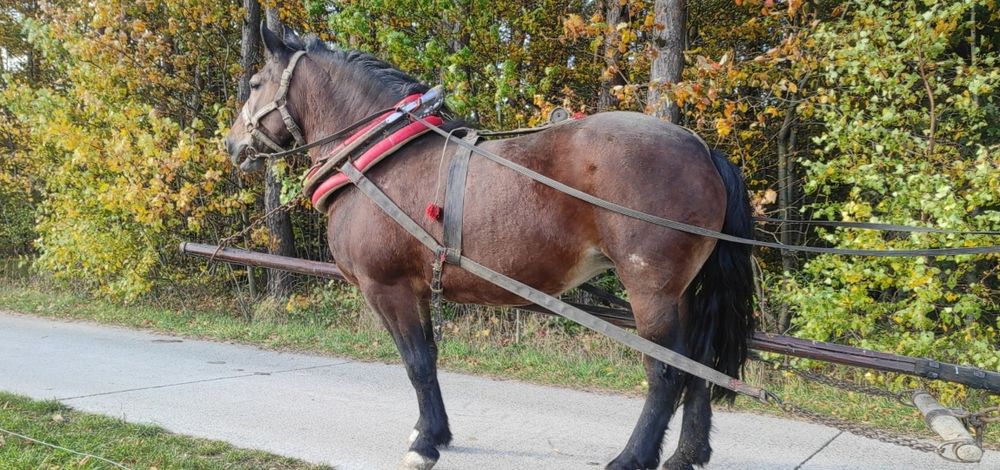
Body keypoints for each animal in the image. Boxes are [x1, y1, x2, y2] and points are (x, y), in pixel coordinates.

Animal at [225, 22, 752, 470]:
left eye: (255, 83)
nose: (231, 145)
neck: (379, 159)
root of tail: (702, 149)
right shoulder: (417, 288)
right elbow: (430, 356)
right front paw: (435, 431)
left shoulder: (386, 287)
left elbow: (416, 363)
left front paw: (424, 445)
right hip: (681, 291)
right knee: (697, 363)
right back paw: (687, 454)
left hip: (649, 289)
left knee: (665, 373)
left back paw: (631, 457)